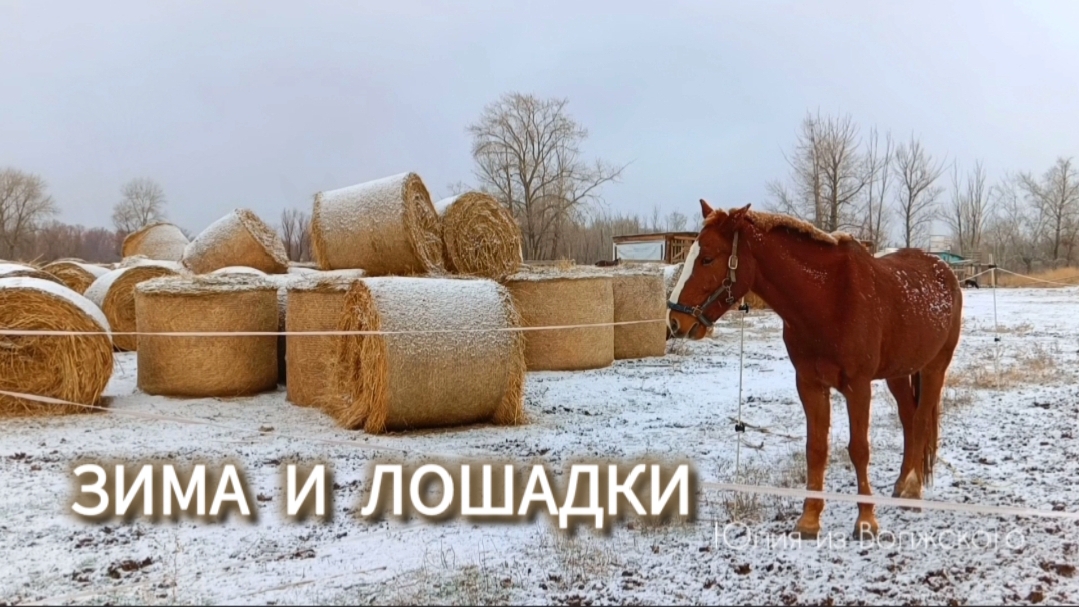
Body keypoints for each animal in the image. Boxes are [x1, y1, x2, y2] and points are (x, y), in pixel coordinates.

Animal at [667, 200, 963, 540]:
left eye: (707, 258)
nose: (675, 322)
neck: (829, 298)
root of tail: (945, 271)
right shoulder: (809, 384)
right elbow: (816, 448)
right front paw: (809, 520)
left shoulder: (858, 386)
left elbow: (859, 449)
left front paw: (866, 521)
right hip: (898, 372)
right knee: (908, 418)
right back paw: (902, 485)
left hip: (935, 367)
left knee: (921, 418)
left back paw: (913, 489)